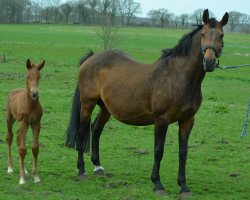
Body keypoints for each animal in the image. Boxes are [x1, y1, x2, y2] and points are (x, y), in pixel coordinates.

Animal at [65, 9, 229, 195]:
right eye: (203, 34)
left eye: (221, 35)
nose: (209, 62)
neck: (178, 77)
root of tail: (91, 59)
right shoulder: (161, 120)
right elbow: (158, 151)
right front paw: (157, 184)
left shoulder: (187, 120)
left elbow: (183, 152)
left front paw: (183, 186)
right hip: (87, 104)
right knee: (82, 132)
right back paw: (82, 171)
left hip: (106, 108)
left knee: (96, 129)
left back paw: (98, 167)